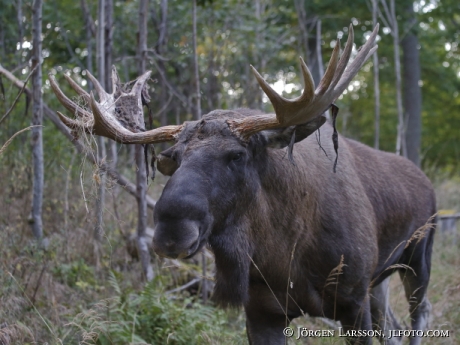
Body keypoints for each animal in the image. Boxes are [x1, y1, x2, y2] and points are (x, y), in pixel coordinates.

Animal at [49, 22, 434, 342]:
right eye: (175, 158)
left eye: (236, 155)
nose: (172, 231)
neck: (285, 253)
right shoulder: (263, 311)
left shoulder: (352, 301)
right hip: (379, 282)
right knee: (393, 327)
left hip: (417, 258)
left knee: (420, 316)